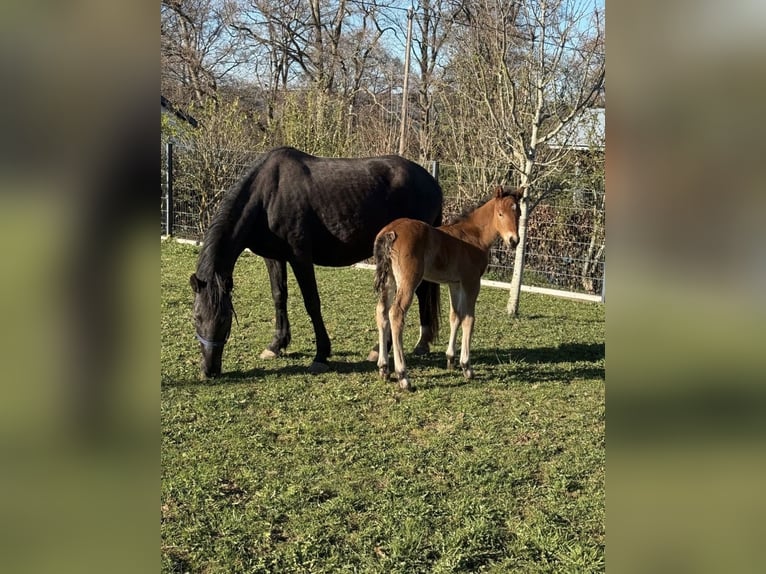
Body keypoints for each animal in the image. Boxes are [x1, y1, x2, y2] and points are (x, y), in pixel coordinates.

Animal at [189, 146, 443, 378]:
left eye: (225, 319)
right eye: (197, 317)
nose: (209, 371)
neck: (266, 196)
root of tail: (431, 182)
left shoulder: (300, 256)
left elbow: (311, 302)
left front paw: (321, 354)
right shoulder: (273, 257)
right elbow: (279, 296)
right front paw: (276, 345)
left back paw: (388, 348)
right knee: (422, 292)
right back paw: (421, 343)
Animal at [373, 185, 522, 391]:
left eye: (519, 213)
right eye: (500, 213)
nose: (514, 240)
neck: (474, 235)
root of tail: (391, 231)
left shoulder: (455, 283)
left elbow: (455, 316)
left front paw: (451, 359)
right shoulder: (471, 281)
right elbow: (469, 319)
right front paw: (466, 367)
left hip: (389, 280)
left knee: (381, 312)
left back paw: (384, 368)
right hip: (408, 280)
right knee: (396, 313)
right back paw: (403, 376)